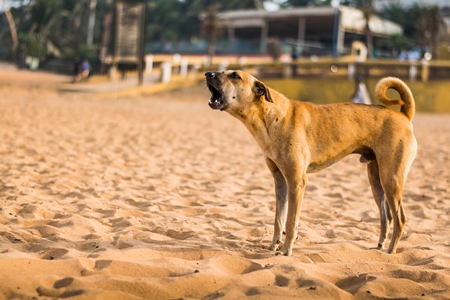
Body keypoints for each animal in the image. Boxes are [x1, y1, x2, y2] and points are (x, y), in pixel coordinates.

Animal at [206, 69, 416, 255]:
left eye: (235, 75)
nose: (208, 73)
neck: (270, 116)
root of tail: (404, 115)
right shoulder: (280, 182)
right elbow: (279, 220)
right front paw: (273, 246)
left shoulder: (296, 181)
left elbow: (291, 222)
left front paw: (286, 251)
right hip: (376, 179)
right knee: (386, 217)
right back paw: (380, 246)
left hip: (391, 179)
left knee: (400, 219)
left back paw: (390, 250)